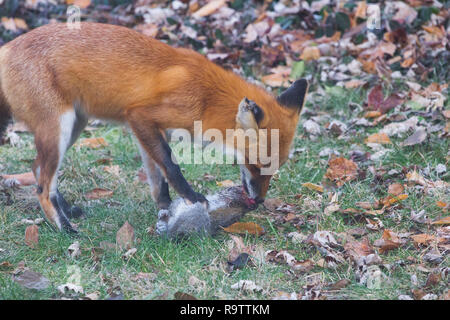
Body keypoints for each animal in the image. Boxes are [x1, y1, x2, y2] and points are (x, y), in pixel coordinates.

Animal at [0, 22, 308, 232]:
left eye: (274, 169)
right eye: (257, 166)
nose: (259, 201)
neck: (207, 97)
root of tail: (7, 47)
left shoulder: (147, 130)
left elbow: (158, 179)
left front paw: (166, 211)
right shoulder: (140, 116)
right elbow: (171, 166)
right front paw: (192, 199)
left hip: (75, 125)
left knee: (37, 170)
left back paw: (66, 211)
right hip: (60, 128)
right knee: (42, 186)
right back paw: (64, 228)